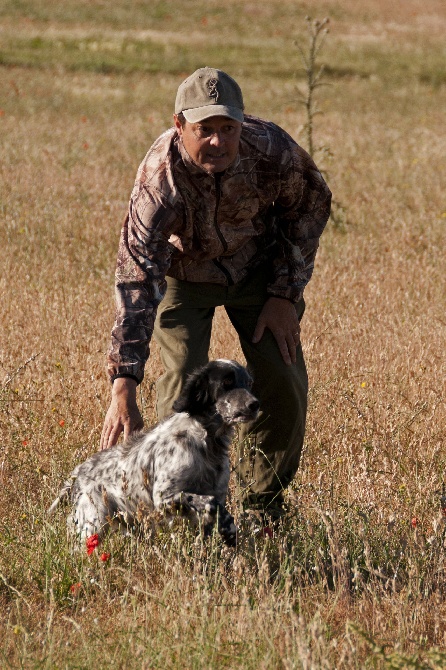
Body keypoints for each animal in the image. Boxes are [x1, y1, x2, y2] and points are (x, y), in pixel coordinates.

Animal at [49, 362, 260, 552]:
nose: (255, 404)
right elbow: (211, 503)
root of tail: (79, 471)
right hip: (93, 524)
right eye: (226, 382)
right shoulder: (164, 497)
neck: (207, 441)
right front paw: (229, 529)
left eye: (249, 383)